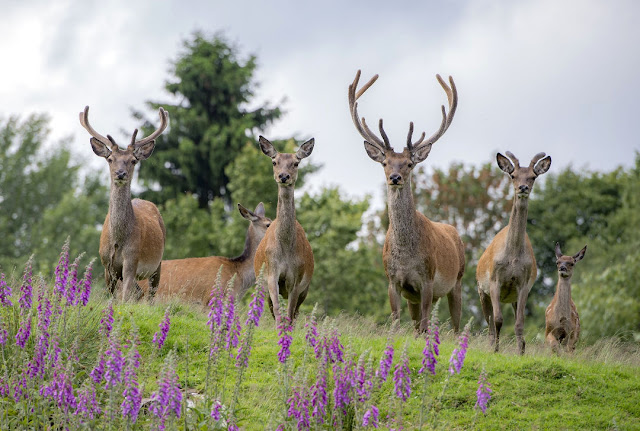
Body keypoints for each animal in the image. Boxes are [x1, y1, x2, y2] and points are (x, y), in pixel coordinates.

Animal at [79, 107, 169, 304]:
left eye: (133, 160)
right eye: (110, 159)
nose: (120, 173)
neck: (118, 240)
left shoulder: (132, 259)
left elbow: (125, 295)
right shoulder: (107, 264)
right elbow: (113, 297)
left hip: (157, 263)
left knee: (150, 293)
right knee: (139, 292)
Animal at [254, 135, 316, 328]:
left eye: (296, 163)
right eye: (274, 162)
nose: (283, 176)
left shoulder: (296, 278)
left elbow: (289, 312)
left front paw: (286, 332)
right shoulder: (272, 272)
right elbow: (277, 309)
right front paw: (278, 330)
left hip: (306, 287)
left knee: (295, 312)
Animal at [344, 70, 464, 334]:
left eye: (409, 164)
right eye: (385, 162)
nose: (395, 177)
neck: (407, 257)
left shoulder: (428, 279)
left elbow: (427, 323)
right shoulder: (393, 281)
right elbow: (396, 321)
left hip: (458, 280)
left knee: (456, 324)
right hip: (416, 297)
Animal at [478, 151, 552, 354]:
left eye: (533, 177)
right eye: (513, 175)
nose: (523, 187)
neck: (513, 258)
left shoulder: (524, 284)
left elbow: (519, 323)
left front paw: (521, 352)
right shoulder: (494, 281)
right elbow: (497, 320)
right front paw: (496, 350)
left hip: (511, 298)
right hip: (481, 291)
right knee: (489, 323)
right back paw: (491, 345)